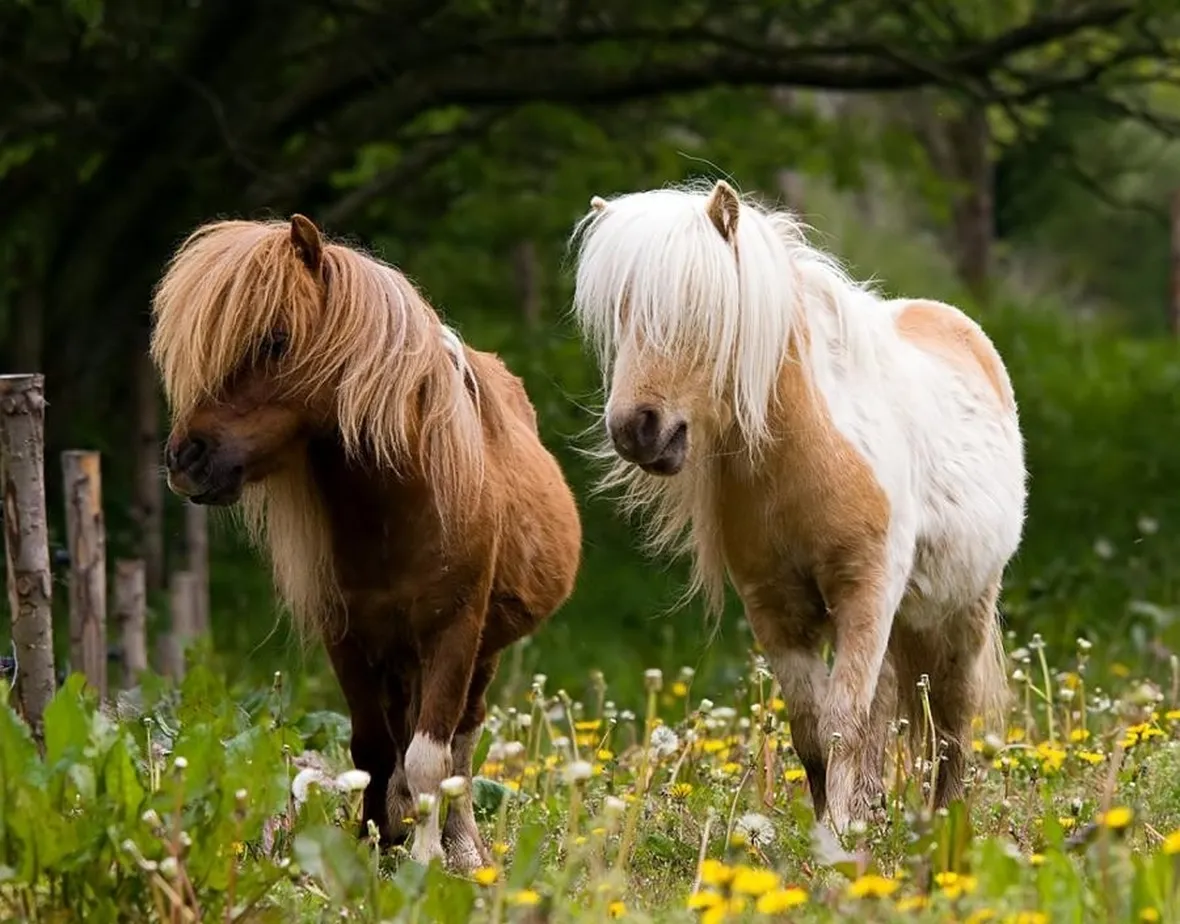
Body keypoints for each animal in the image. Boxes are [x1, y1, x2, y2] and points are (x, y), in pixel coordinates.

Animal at [150, 214, 582, 871]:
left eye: (275, 339)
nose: (185, 459)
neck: (402, 506)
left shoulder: (453, 633)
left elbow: (431, 755)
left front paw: (428, 859)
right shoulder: (348, 637)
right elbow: (373, 749)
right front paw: (373, 844)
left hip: (481, 653)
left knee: (462, 741)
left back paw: (463, 845)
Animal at [569, 179, 1026, 834]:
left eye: (700, 309)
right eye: (621, 312)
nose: (636, 430)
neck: (803, 461)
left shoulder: (866, 594)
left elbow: (843, 726)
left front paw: (837, 839)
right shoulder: (775, 611)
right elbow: (813, 731)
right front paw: (830, 832)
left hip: (962, 611)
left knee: (950, 728)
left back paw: (943, 826)